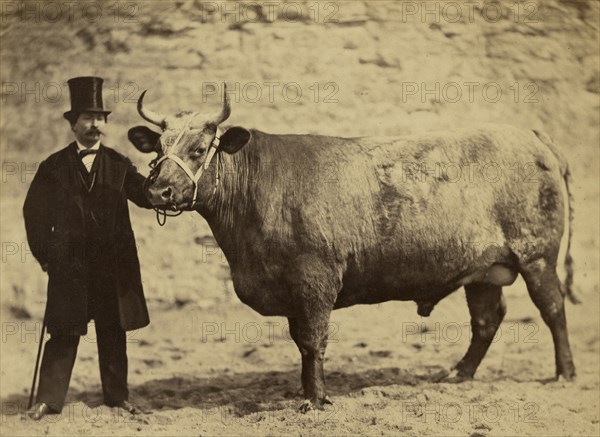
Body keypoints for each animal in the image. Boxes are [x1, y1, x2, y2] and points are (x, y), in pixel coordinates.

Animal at [129, 86, 580, 412]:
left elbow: (313, 340)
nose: (157, 189)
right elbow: (300, 341)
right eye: (158, 150)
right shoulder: (292, 289)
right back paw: (458, 374)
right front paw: (305, 391)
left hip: (537, 255)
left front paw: (316, 400)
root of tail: (527, 134)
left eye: (197, 150)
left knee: (553, 309)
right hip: (483, 270)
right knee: (487, 320)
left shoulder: (315, 279)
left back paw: (565, 373)